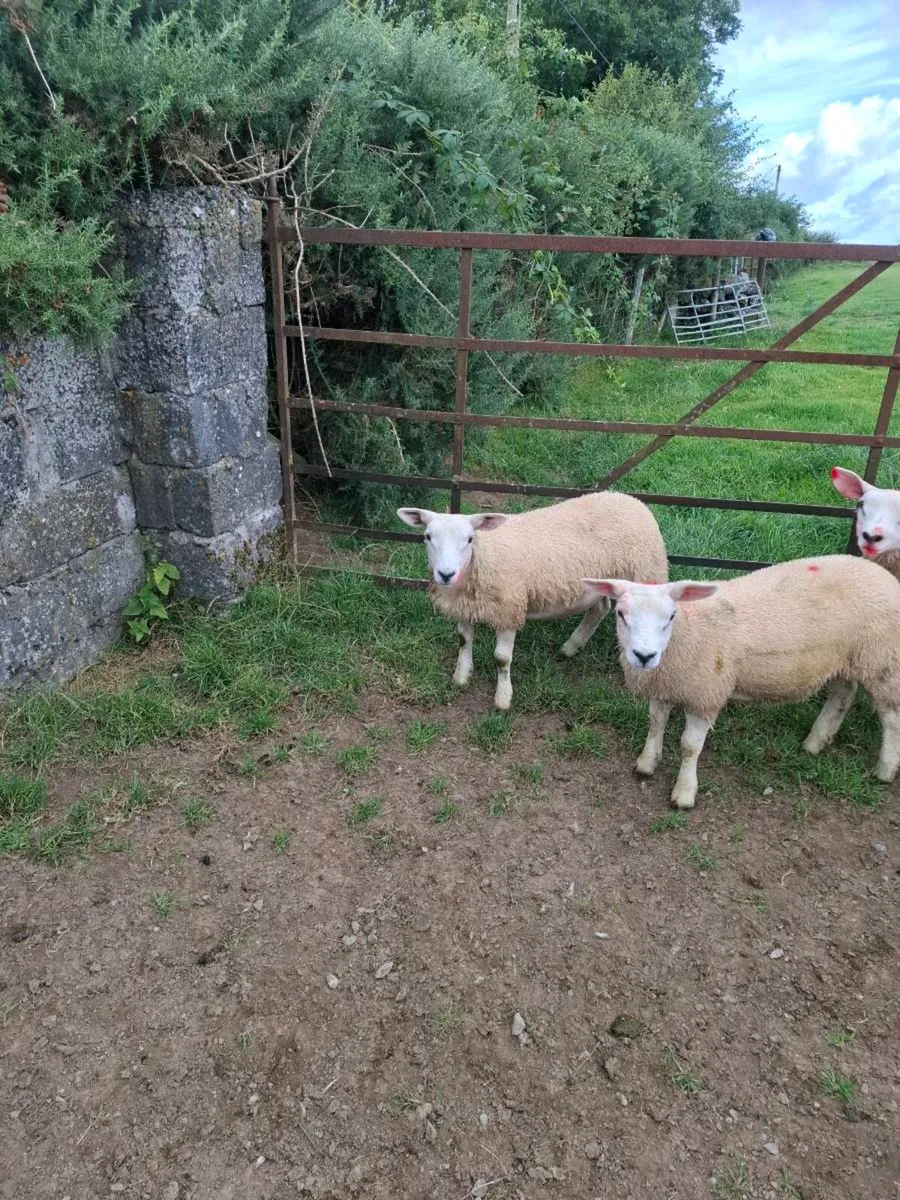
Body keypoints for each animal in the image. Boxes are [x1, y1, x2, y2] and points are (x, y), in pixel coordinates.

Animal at [397, 492, 668, 710]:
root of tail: (631, 500)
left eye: (470, 539)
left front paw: (503, 699)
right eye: (427, 536)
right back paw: (571, 647)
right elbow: (464, 640)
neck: (482, 557)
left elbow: (501, 659)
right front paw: (462, 676)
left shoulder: (509, 609)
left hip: (646, 573)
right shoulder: (466, 607)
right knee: (600, 608)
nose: (445, 574)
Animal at [582, 554, 900, 811]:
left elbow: (689, 747)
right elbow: (655, 724)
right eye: (621, 613)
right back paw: (815, 742)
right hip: (844, 660)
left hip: (882, 661)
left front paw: (684, 794)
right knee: (842, 695)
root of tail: (882, 574)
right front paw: (647, 763)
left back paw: (885, 769)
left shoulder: (705, 694)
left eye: (671, 616)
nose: (644, 656)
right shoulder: (666, 686)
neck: (687, 631)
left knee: (891, 718)